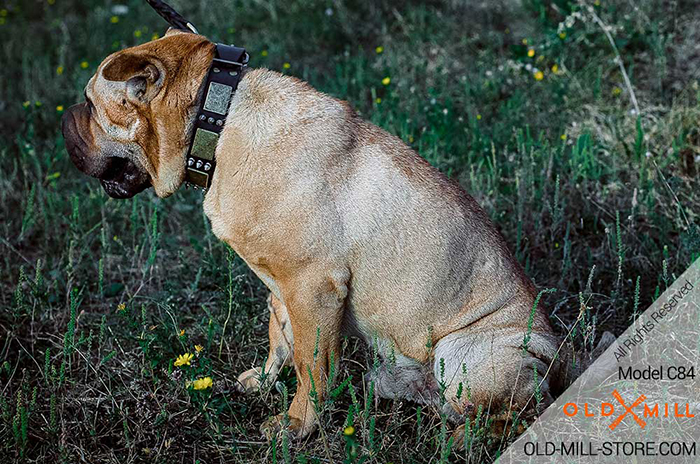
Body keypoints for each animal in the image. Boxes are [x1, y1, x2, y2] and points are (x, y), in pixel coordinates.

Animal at [61, 28, 564, 438]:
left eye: (91, 106)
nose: (65, 120)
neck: (216, 122)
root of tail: (559, 359)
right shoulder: (282, 287)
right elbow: (279, 339)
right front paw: (264, 382)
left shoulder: (310, 286)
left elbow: (310, 364)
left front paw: (298, 425)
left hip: (461, 356)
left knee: (513, 415)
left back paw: (463, 437)